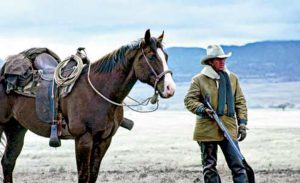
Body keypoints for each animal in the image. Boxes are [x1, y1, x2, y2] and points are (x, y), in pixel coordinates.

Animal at [0, 29, 176, 182]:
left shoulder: (104, 141)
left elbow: (93, 175)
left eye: (166, 56)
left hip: (16, 129)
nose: (170, 88)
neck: (100, 92)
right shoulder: (83, 139)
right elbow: (83, 176)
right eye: (151, 56)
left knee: (8, 162)